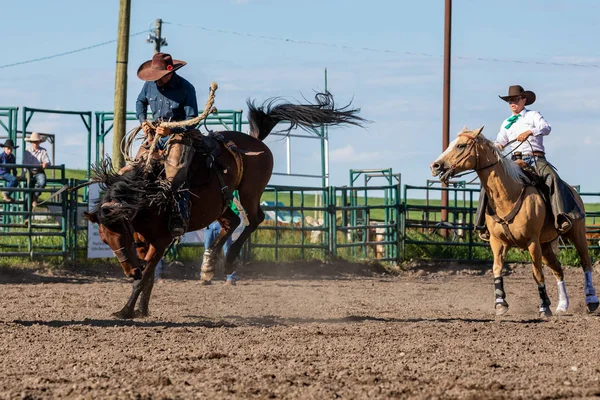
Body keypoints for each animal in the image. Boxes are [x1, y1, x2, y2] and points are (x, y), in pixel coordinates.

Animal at [84, 93, 366, 318]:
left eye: (122, 232)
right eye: (105, 239)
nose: (129, 271)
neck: (148, 196)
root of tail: (255, 141)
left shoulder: (161, 240)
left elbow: (145, 277)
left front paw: (125, 310)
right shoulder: (143, 242)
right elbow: (149, 276)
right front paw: (141, 309)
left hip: (250, 191)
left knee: (254, 219)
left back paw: (228, 262)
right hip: (220, 204)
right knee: (233, 222)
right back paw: (209, 265)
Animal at [428, 126, 596, 318]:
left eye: (461, 145)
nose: (435, 166)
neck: (508, 195)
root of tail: (574, 193)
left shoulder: (532, 242)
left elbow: (537, 274)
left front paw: (544, 307)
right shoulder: (497, 242)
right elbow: (497, 269)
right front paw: (500, 303)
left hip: (577, 234)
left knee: (585, 263)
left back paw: (591, 301)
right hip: (545, 245)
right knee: (558, 269)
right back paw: (562, 305)